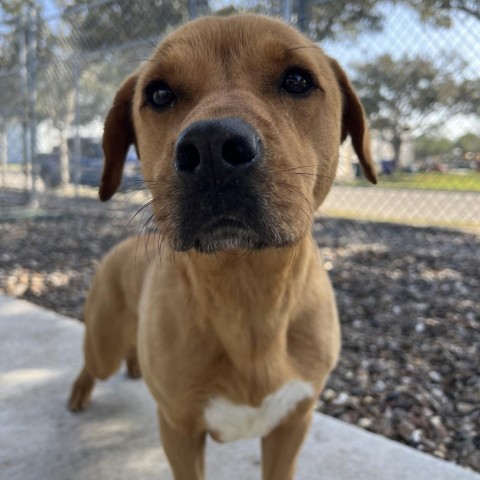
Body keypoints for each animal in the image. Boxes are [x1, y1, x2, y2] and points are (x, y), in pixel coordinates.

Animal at [67, 14, 376, 480]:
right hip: (103, 342)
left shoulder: (292, 425)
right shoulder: (179, 429)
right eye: (159, 93)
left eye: (298, 80)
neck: (247, 294)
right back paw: (80, 391)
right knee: (92, 362)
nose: (211, 146)